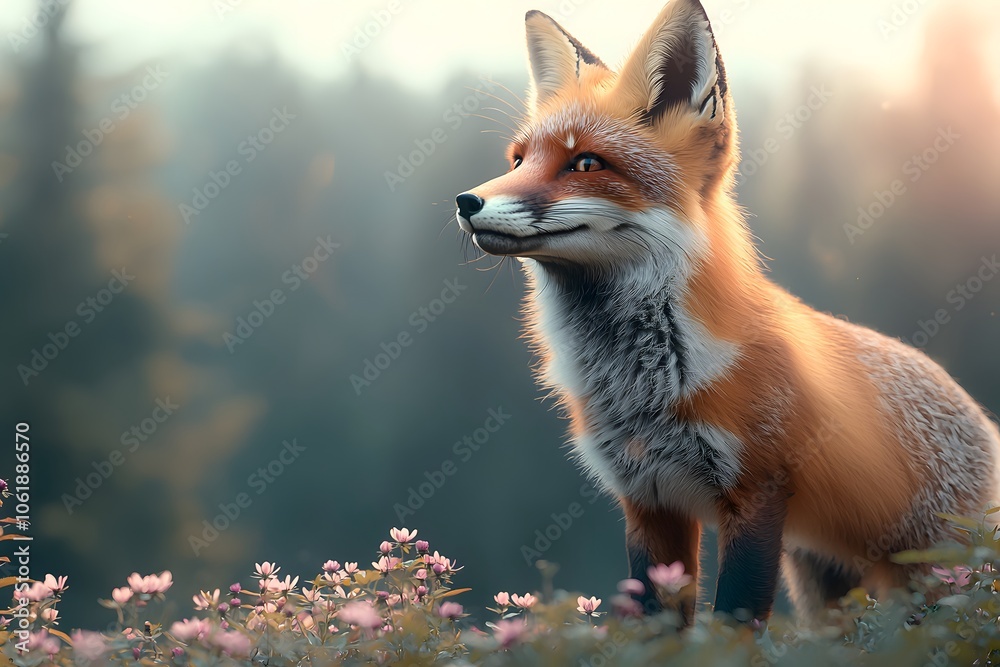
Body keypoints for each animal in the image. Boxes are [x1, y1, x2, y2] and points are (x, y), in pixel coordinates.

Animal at [454, 0, 1000, 625]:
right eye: (518, 159)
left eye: (586, 163)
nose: (466, 201)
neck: (645, 383)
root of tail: (980, 416)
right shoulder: (648, 498)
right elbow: (658, 625)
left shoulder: (757, 492)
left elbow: (733, 623)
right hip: (824, 586)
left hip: (933, 582)